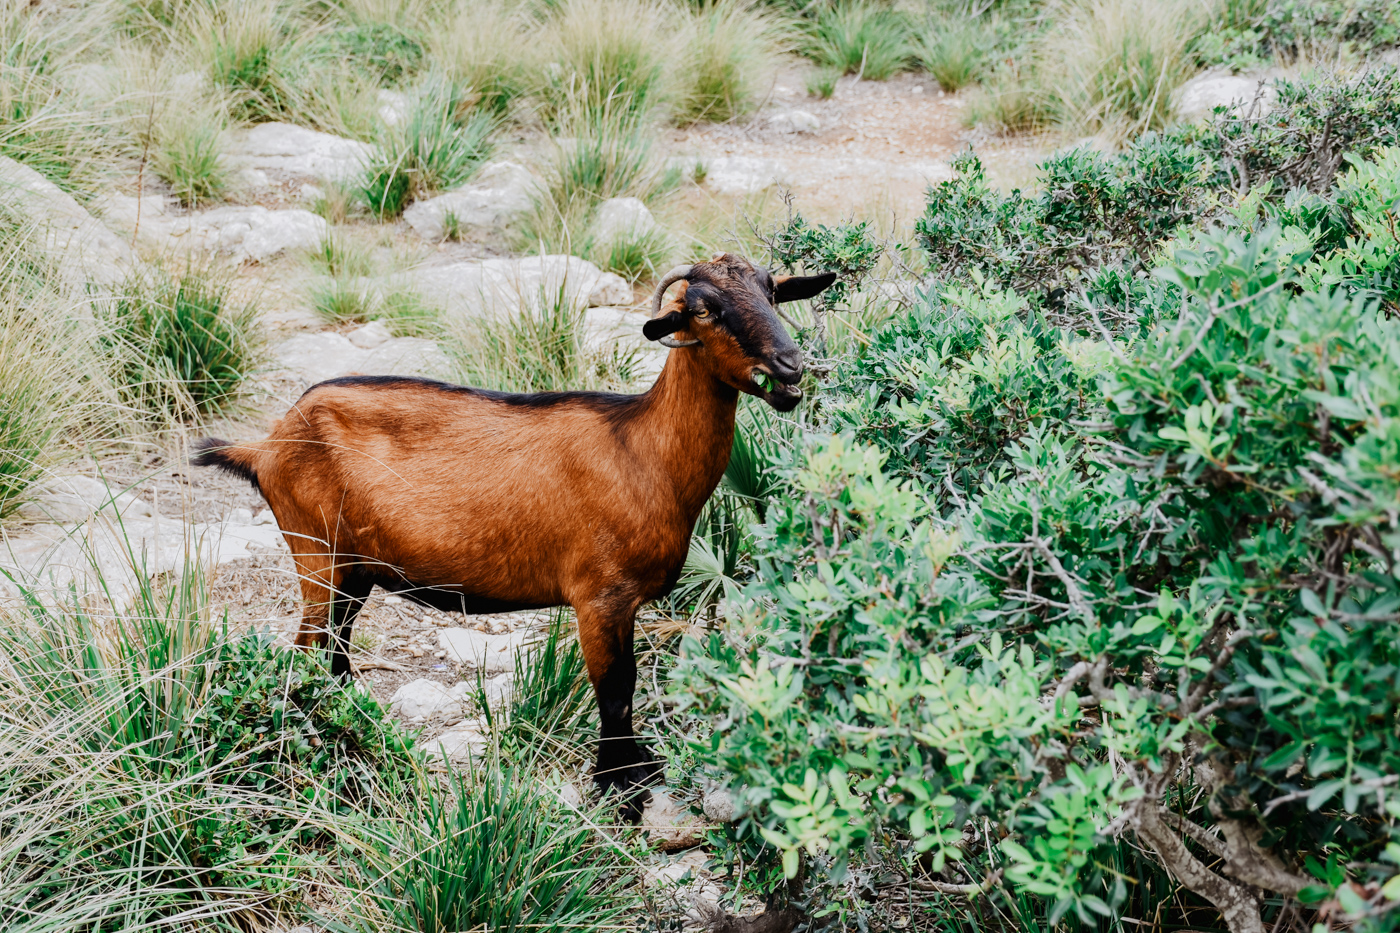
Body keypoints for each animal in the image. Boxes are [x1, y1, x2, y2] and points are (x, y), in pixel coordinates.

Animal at [194, 254, 828, 812]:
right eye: (702, 309)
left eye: (773, 293)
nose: (789, 370)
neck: (643, 452)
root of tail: (267, 445)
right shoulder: (600, 597)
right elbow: (616, 691)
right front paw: (620, 791)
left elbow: (623, 690)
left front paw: (638, 773)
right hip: (318, 557)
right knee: (306, 650)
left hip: (353, 572)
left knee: (335, 650)